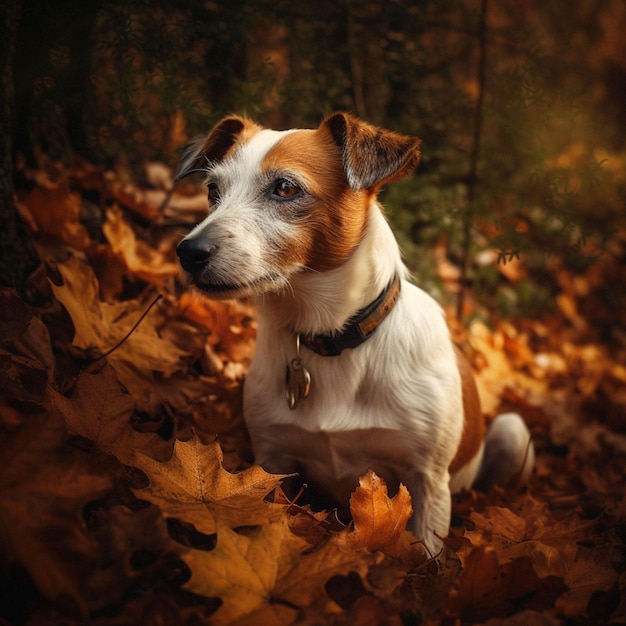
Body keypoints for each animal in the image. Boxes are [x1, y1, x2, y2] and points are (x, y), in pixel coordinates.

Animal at [174, 111, 532, 552]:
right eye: (213, 190)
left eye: (285, 188)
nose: (188, 252)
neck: (330, 337)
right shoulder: (273, 460)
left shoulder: (428, 482)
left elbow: (428, 553)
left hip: (512, 433)